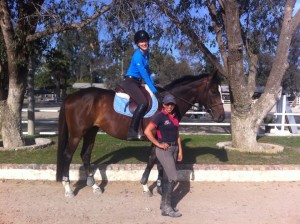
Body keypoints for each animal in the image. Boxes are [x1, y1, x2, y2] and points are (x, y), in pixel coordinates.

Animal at [56, 72, 225, 197]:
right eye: (214, 91)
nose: (222, 117)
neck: (167, 104)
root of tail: (71, 96)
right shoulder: (157, 138)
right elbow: (154, 161)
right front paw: (146, 187)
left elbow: (157, 162)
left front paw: (157, 187)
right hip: (77, 134)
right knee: (67, 155)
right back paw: (68, 189)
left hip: (91, 131)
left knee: (85, 154)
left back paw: (94, 186)